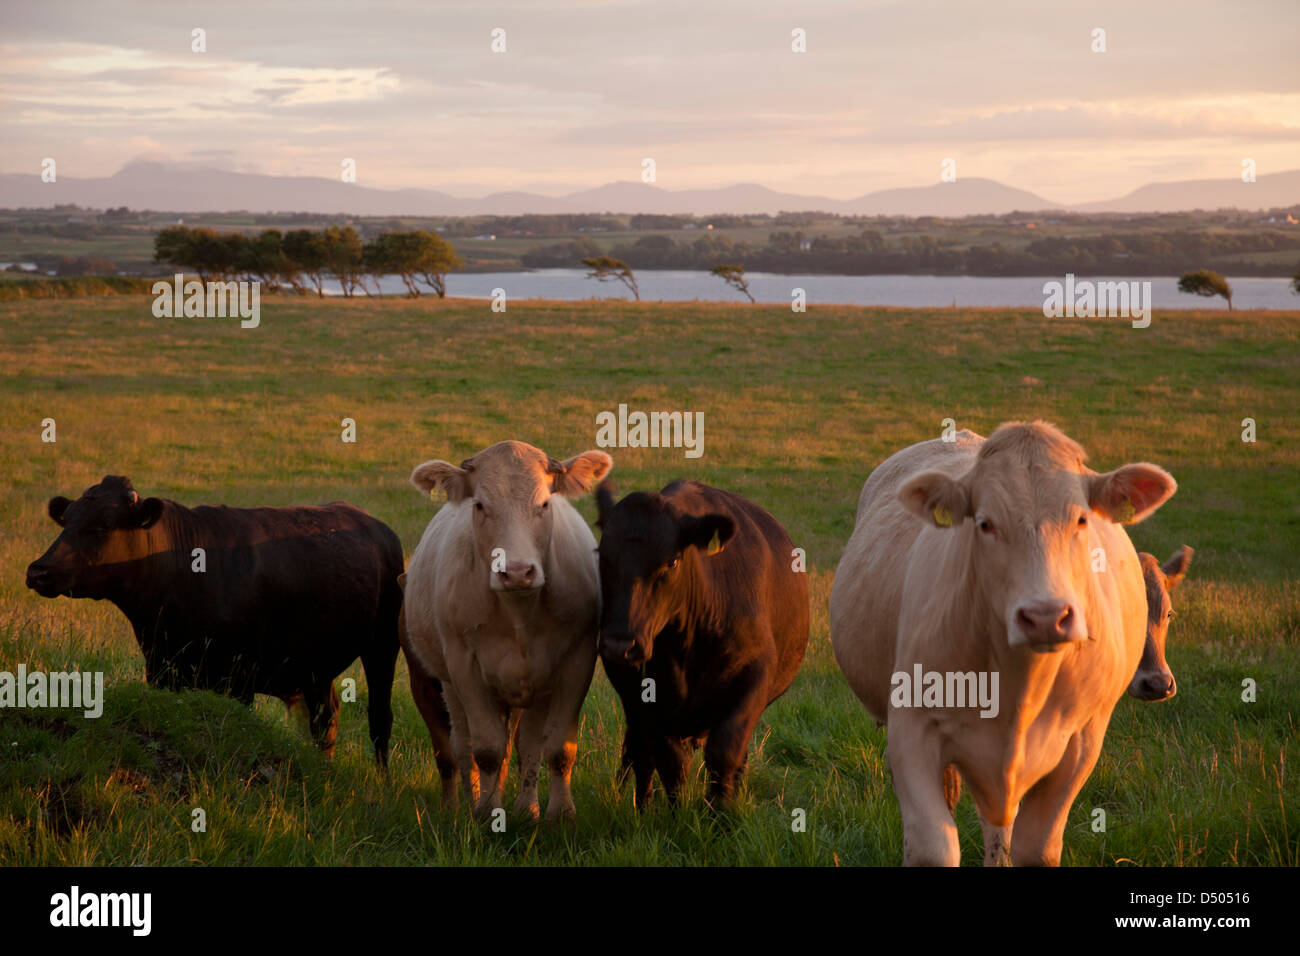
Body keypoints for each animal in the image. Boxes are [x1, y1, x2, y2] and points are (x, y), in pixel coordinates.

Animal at [25, 478, 400, 770]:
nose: (37, 571)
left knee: (379, 720)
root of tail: (377, 526)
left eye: (103, 525)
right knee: (325, 719)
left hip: (383, 645)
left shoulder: (238, 679)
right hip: (315, 665)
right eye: (66, 521)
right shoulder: (162, 669)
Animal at [403, 442, 611, 822]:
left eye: (544, 504)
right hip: (450, 684)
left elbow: (557, 748)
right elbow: (487, 749)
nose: (515, 572)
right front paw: (487, 812)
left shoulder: (577, 661)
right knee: (464, 745)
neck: (518, 612)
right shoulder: (464, 666)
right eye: (480, 505)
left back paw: (527, 808)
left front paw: (561, 814)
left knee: (528, 744)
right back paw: (473, 799)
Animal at [595, 478, 806, 806]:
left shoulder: (754, 676)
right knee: (639, 753)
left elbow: (725, 753)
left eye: (672, 561)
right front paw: (678, 813)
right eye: (603, 556)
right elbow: (670, 764)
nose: (620, 645)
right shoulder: (645, 700)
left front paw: (720, 812)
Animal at [832, 424, 1180, 868]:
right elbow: (933, 846)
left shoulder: (1082, 742)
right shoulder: (911, 728)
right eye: (984, 523)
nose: (1045, 616)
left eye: (1081, 519)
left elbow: (1037, 846)